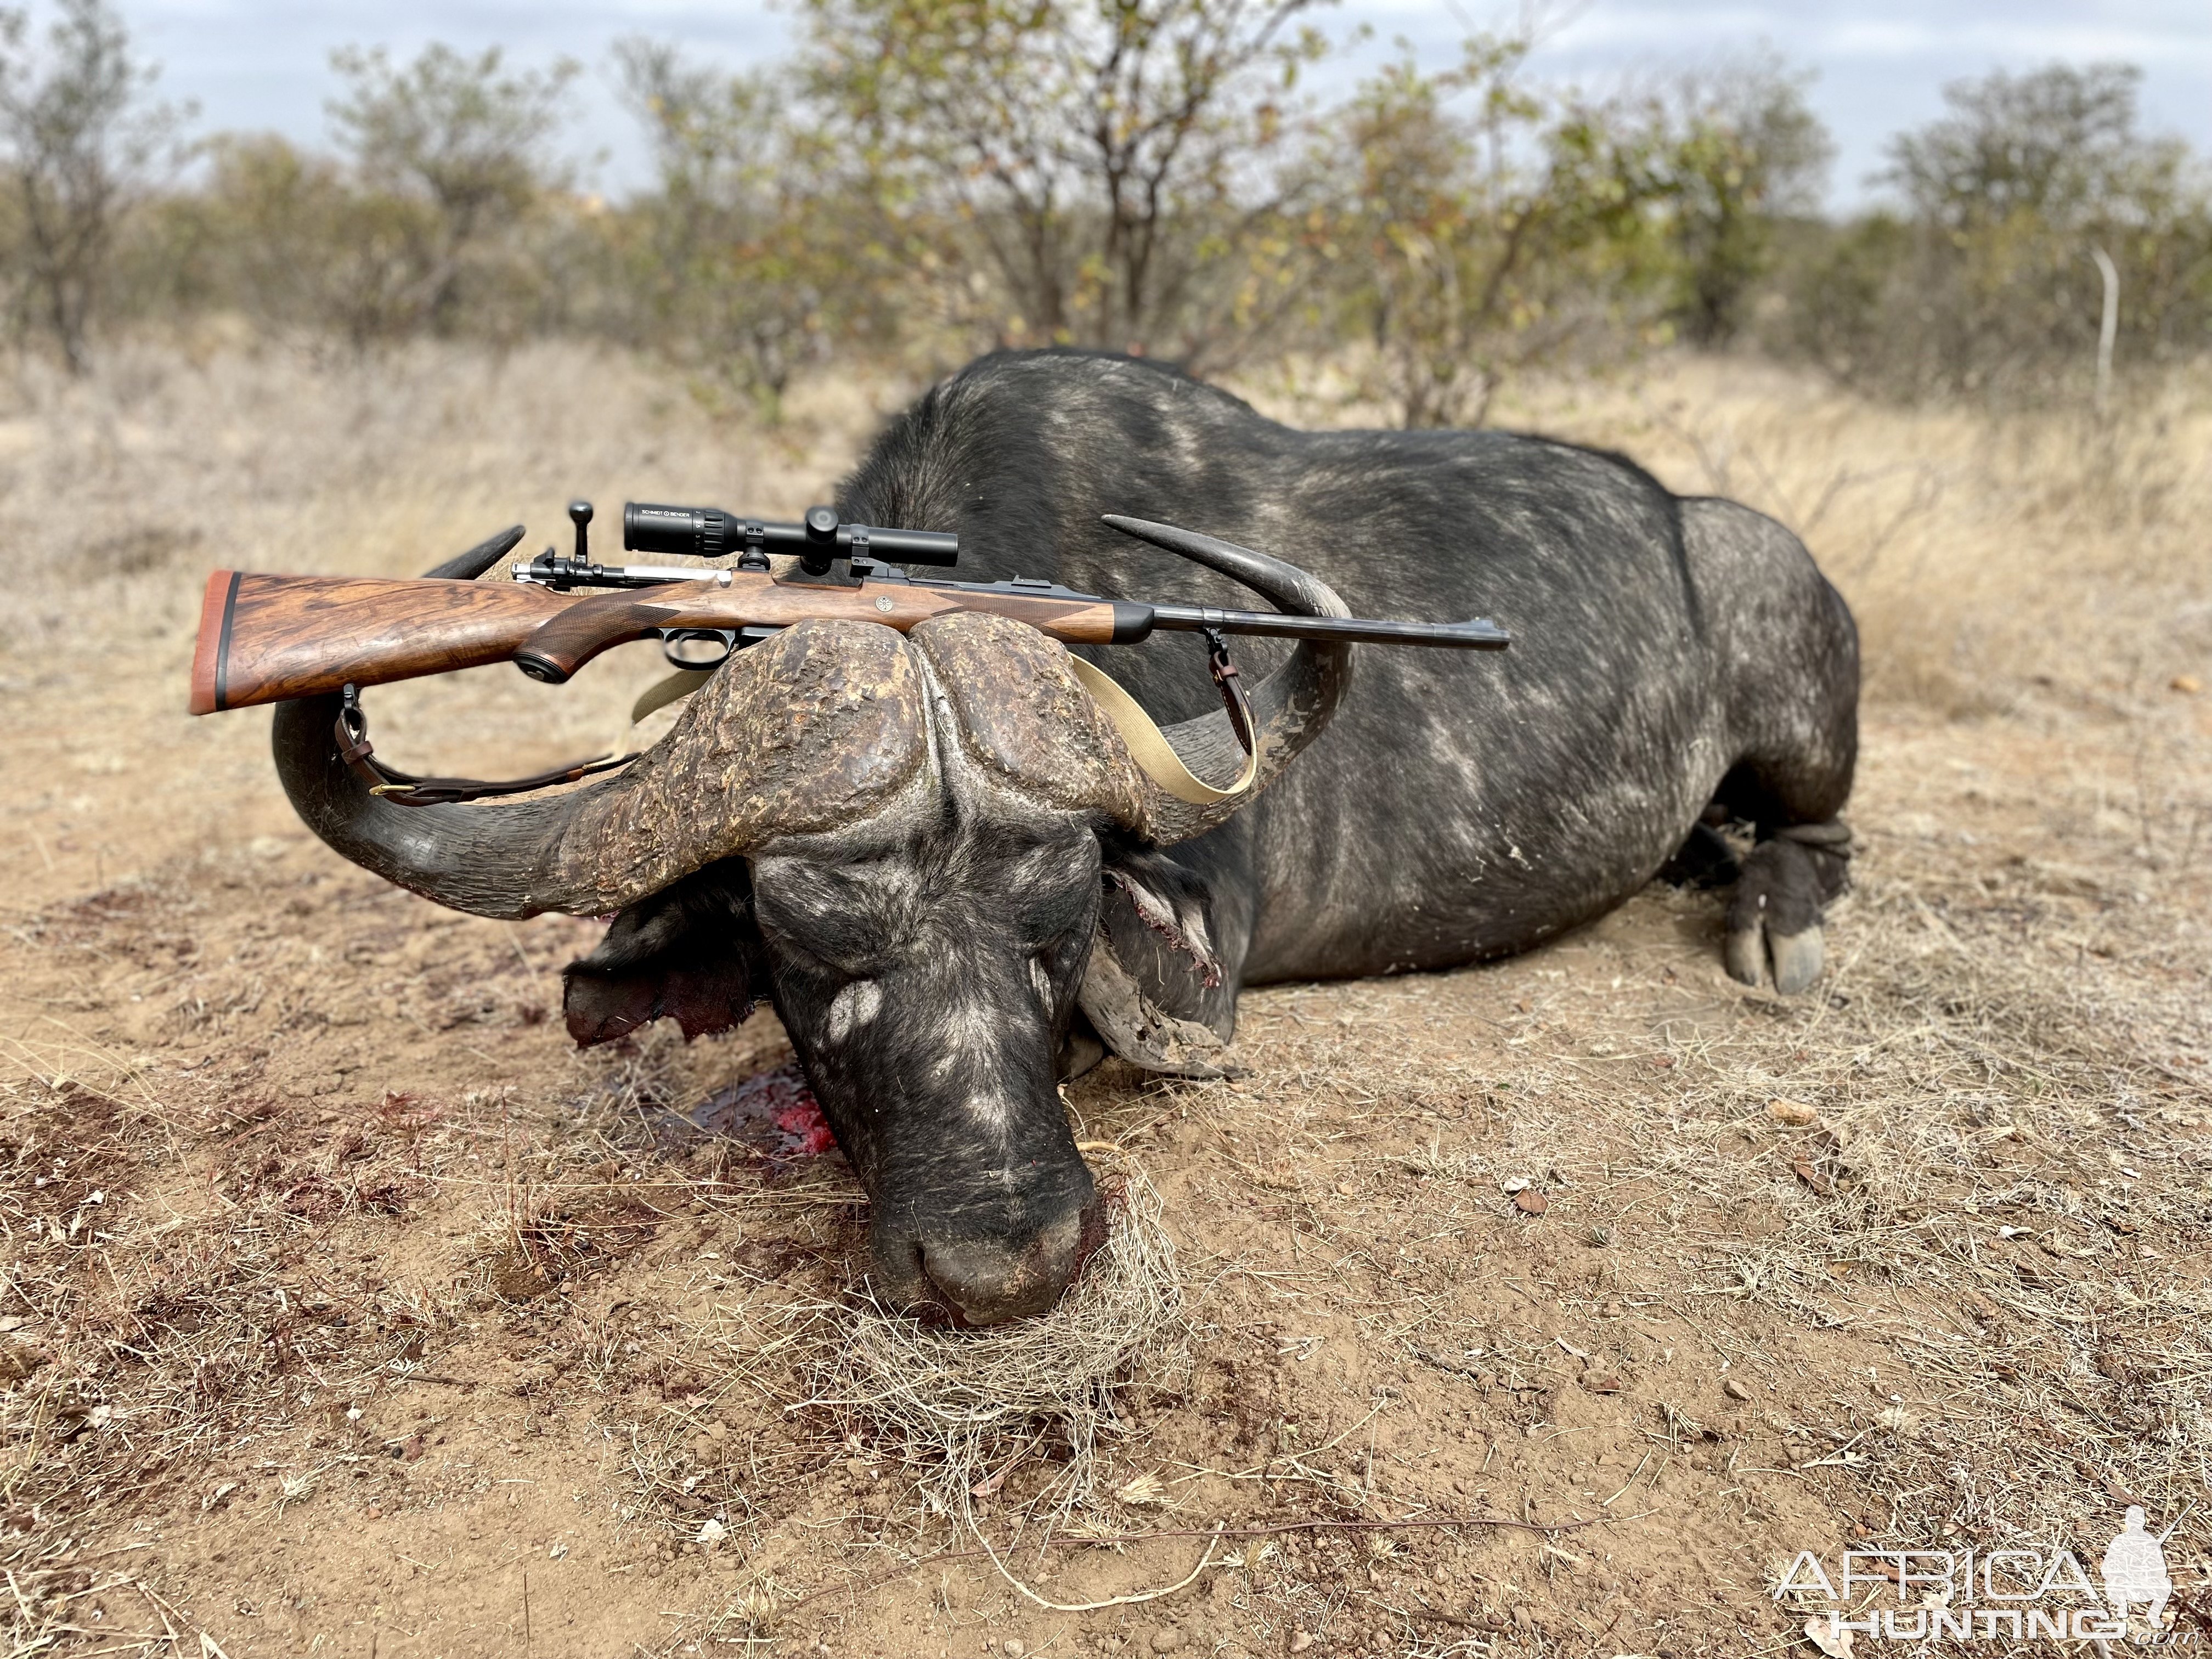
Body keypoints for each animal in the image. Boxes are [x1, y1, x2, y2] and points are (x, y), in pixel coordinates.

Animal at [281, 347, 1867, 1327]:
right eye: (801, 948)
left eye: (1059, 921)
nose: (1005, 1265)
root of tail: (1703, 527)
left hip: (1801, 689)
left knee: (1823, 829)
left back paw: (1772, 923)